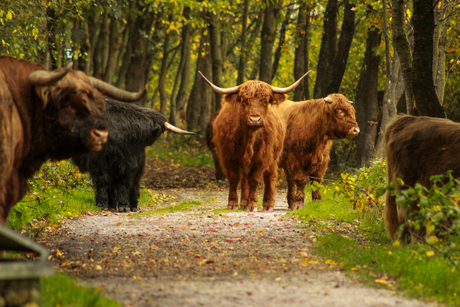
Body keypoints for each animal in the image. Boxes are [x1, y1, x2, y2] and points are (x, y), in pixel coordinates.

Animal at [200, 71, 310, 213]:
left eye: (265, 101)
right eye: (244, 101)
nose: (255, 119)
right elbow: (234, 178)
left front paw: (252, 204)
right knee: (244, 180)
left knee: (269, 177)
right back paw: (243, 203)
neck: (249, 138)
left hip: (273, 157)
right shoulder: (228, 156)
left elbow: (254, 179)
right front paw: (233, 203)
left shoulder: (262, 157)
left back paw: (267, 204)